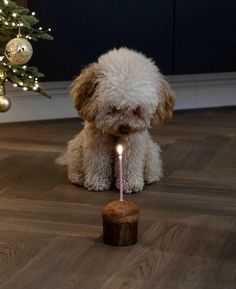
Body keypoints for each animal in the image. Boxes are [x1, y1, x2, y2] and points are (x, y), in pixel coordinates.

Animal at [58, 47, 175, 194]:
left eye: (136, 110)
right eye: (113, 109)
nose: (125, 128)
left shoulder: (132, 142)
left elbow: (129, 163)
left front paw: (130, 184)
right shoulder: (97, 140)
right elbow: (98, 161)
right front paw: (97, 182)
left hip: (150, 151)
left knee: (152, 166)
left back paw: (150, 177)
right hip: (77, 147)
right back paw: (78, 177)